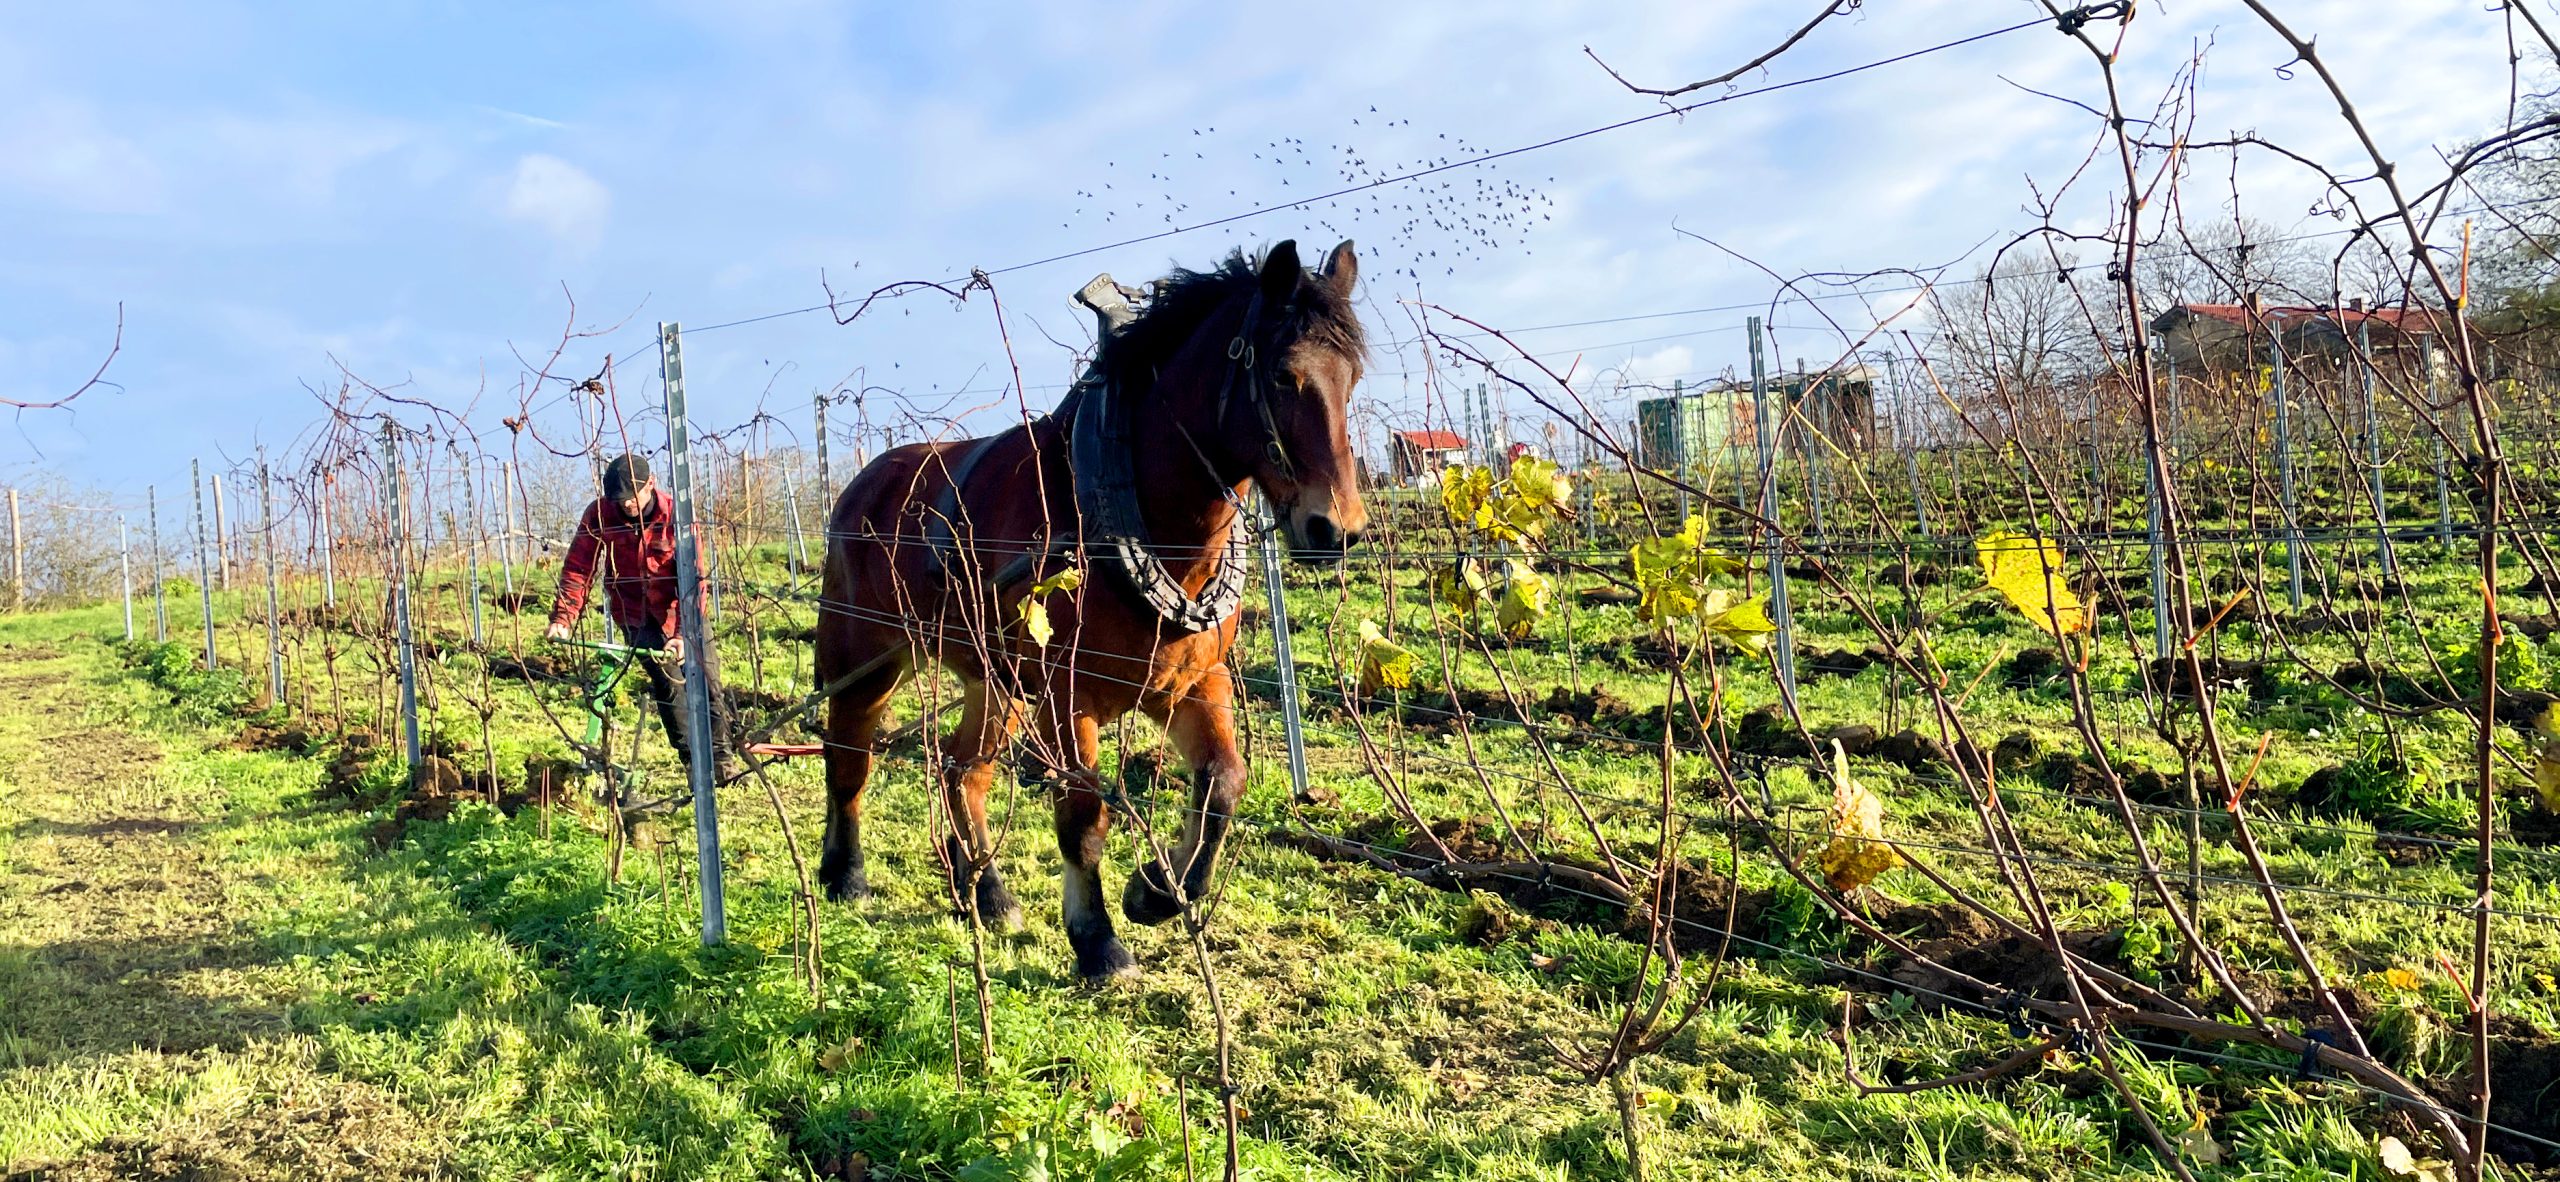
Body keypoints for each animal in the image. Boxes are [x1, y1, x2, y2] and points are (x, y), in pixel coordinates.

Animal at [812, 239, 1369, 982]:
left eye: (1352, 377)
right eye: (1283, 375)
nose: (1336, 529)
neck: (1134, 513)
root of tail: (863, 484)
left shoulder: (1191, 682)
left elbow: (1223, 782)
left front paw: (1158, 891)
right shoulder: (1067, 693)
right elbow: (1082, 813)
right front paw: (1098, 939)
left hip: (996, 681)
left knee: (963, 769)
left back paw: (984, 893)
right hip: (867, 658)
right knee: (849, 758)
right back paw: (845, 875)